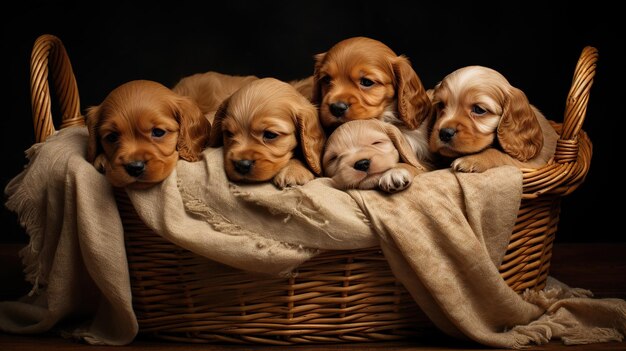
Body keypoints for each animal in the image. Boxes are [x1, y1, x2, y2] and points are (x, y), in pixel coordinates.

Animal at [426, 65, 560, 173]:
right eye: (441, 105)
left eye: (478, 109)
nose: (444, 133)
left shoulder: (533, 163)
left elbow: (499, 154)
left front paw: (472, 159)